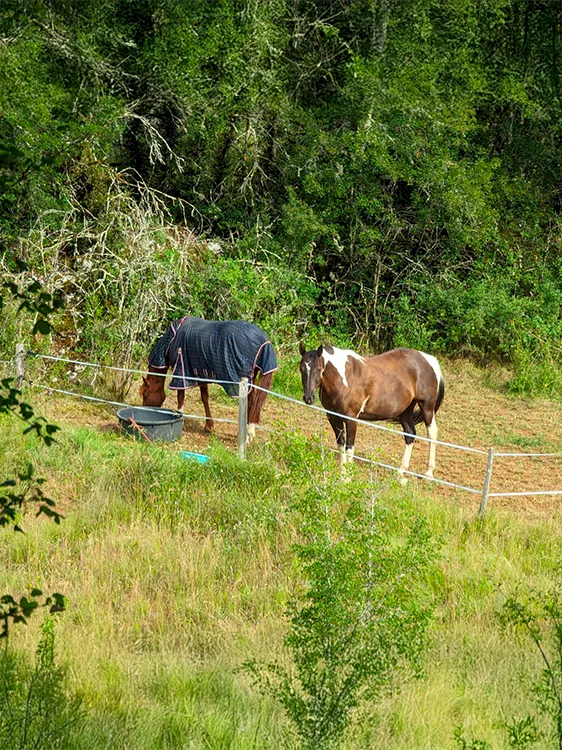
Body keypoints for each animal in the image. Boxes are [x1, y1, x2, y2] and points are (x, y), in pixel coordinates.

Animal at [141, 317, 277, 439]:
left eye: (145, 395)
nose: (145, 410)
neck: (171, 341)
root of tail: (264, 341)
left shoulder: (180, 373)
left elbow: (181, 397)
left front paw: (181, 417)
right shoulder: (201, 374)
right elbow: (205, 398)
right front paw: (209, 425)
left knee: (252, 402)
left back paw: (247, 435)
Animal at [299, 343, 445, 482]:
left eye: (318, 369)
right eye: (301, 369)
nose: (308, 398)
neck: (344, 378)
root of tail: (429, 361)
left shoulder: (351, 419)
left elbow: (349, 447)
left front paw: (347, 479)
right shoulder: (333, 417)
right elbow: (340, 445)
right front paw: (341, 475)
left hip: (427, 406)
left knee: (432, 434)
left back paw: (428, 473)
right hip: (405, 411)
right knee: (410, 434)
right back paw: (400, 473)